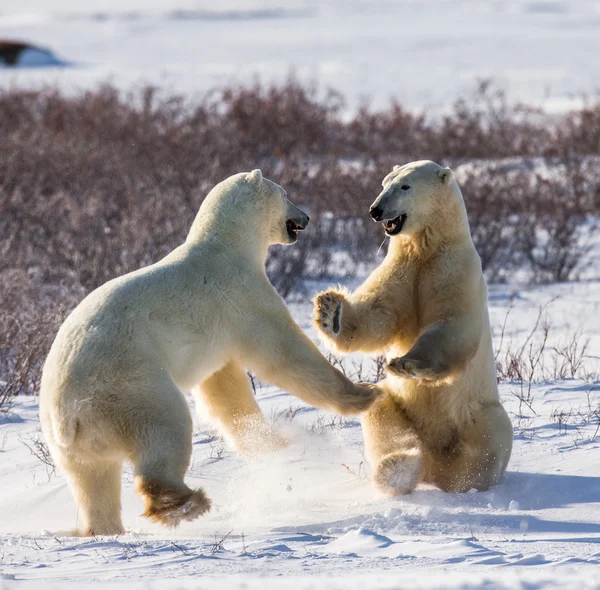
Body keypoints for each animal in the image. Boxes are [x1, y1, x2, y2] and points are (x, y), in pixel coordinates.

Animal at [41, 170, 380, 536]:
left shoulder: (216, 337)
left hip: (73, 441)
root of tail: (67, 414)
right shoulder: (242, 296)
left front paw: (274, 444)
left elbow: (224, 390)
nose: (305, 217)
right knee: (166, 427)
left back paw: (103, 528)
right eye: (285, 193)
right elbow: (283, 353)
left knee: (92, 479)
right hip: (128, 387)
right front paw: (365, 394)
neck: (227, 245)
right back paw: (187, 502)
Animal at [312, 161, 512, 494]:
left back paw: (468, 479)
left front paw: (406, 364)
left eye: (405, 186)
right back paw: (397, 471)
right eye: (384, 182)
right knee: (381, 412)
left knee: (491, 434)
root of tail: (436, 465)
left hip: (475, 411)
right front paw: (330, 312)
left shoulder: (457, 271)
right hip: (402, 408)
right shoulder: (401, 270)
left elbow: (451, 323)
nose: (375, 210)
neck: (428, 247)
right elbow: (378, 313)